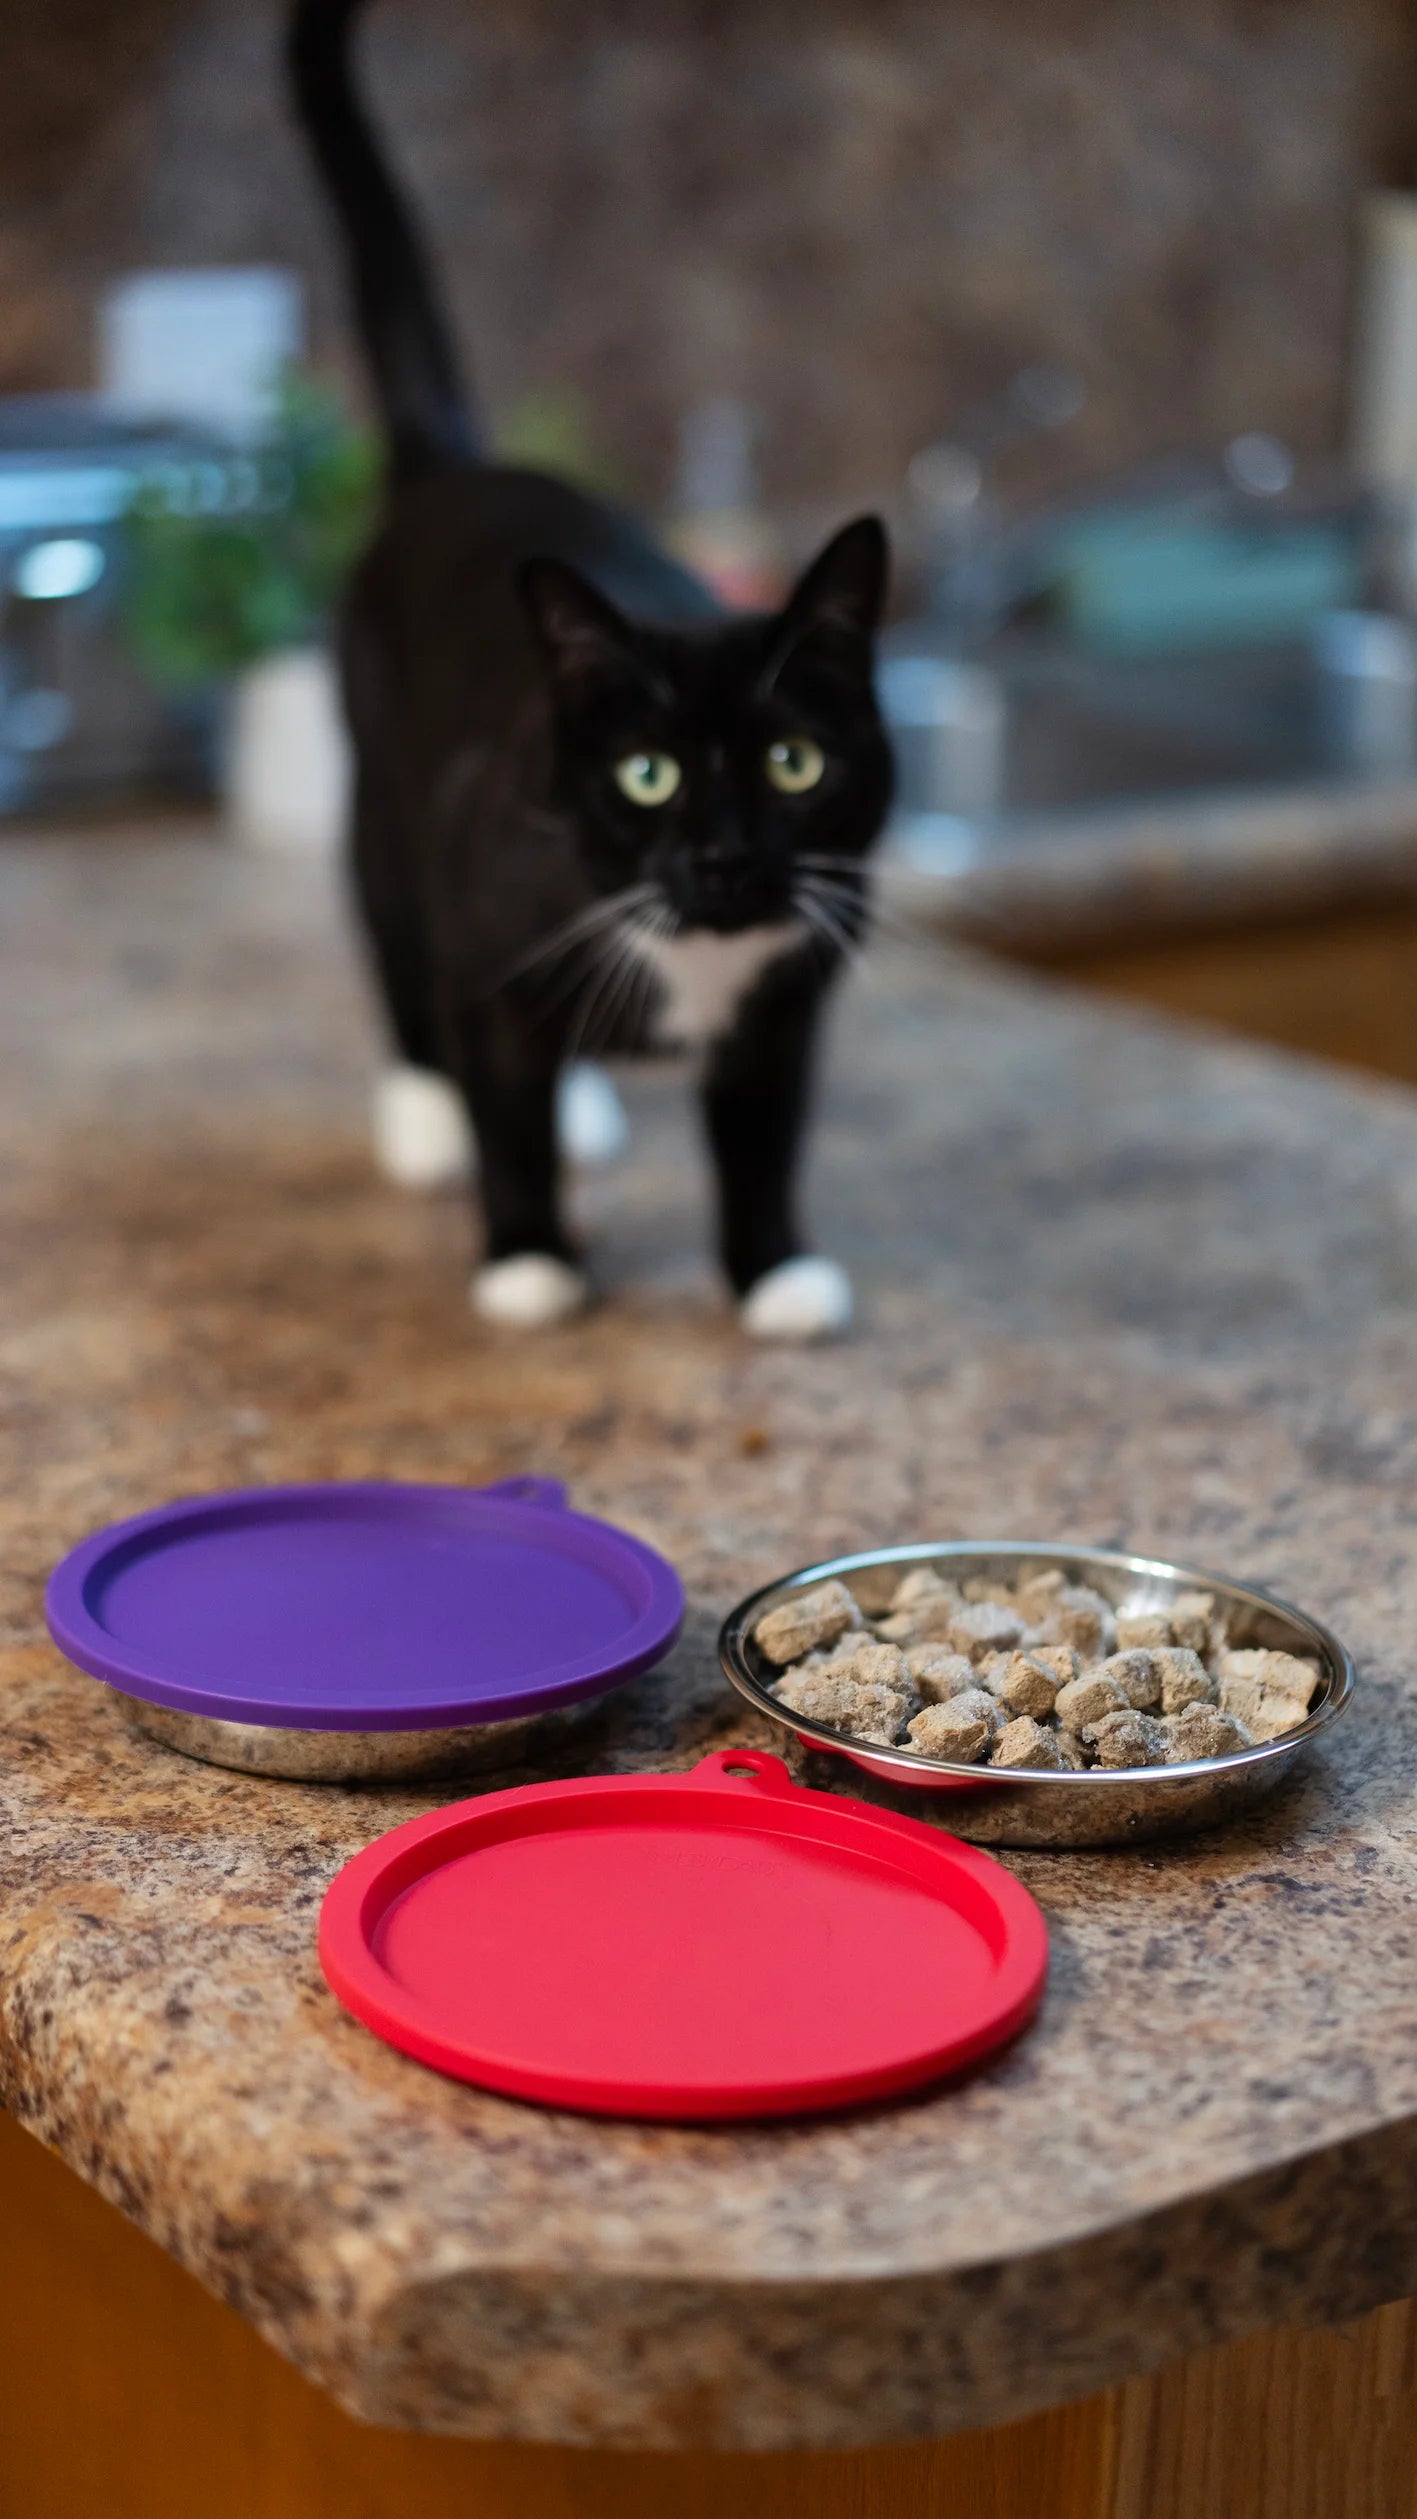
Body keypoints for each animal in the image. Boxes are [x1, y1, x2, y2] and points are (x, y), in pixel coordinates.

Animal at [289, 0, 890, 1340]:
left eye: (795, 762)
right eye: (648, 773)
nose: (723, 856)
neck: (693, 953)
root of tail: (453, 465)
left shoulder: (787, 1010)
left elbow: (763, 1141)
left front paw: (774, 1272)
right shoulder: (490, 917)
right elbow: (504, 1109)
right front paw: (527, 1262)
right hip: (380, 795)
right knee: (404, 952)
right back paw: (426, 1110)